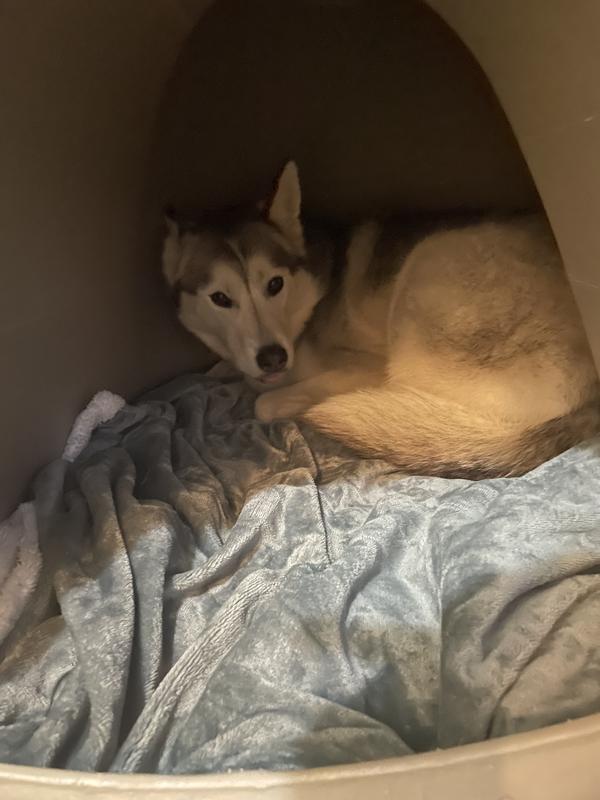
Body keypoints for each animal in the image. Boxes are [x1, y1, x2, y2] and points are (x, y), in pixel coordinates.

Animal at [162, 159, 596, 478]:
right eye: (220, 298)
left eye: (274, 284)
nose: (273, 357)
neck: (308, 305)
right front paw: (224, 369)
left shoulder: (362, 366)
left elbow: (264, 402)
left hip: (425, 280)